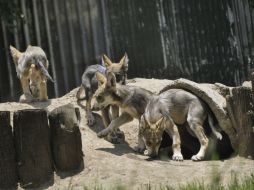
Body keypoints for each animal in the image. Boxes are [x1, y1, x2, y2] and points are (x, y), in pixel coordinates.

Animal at [94, 72, 222, 161]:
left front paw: (142, 148)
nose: (92, 108)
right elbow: (113, 123)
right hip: (189, 127)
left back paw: (199, 156)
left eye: (99, 97)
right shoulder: (128, 116)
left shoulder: (140, 117)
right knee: (208, 138)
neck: (126, 97)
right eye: (95, 96)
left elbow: (140, 134)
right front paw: (103, 133)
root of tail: (203, 101)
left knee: (205, 139)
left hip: (192, 123)